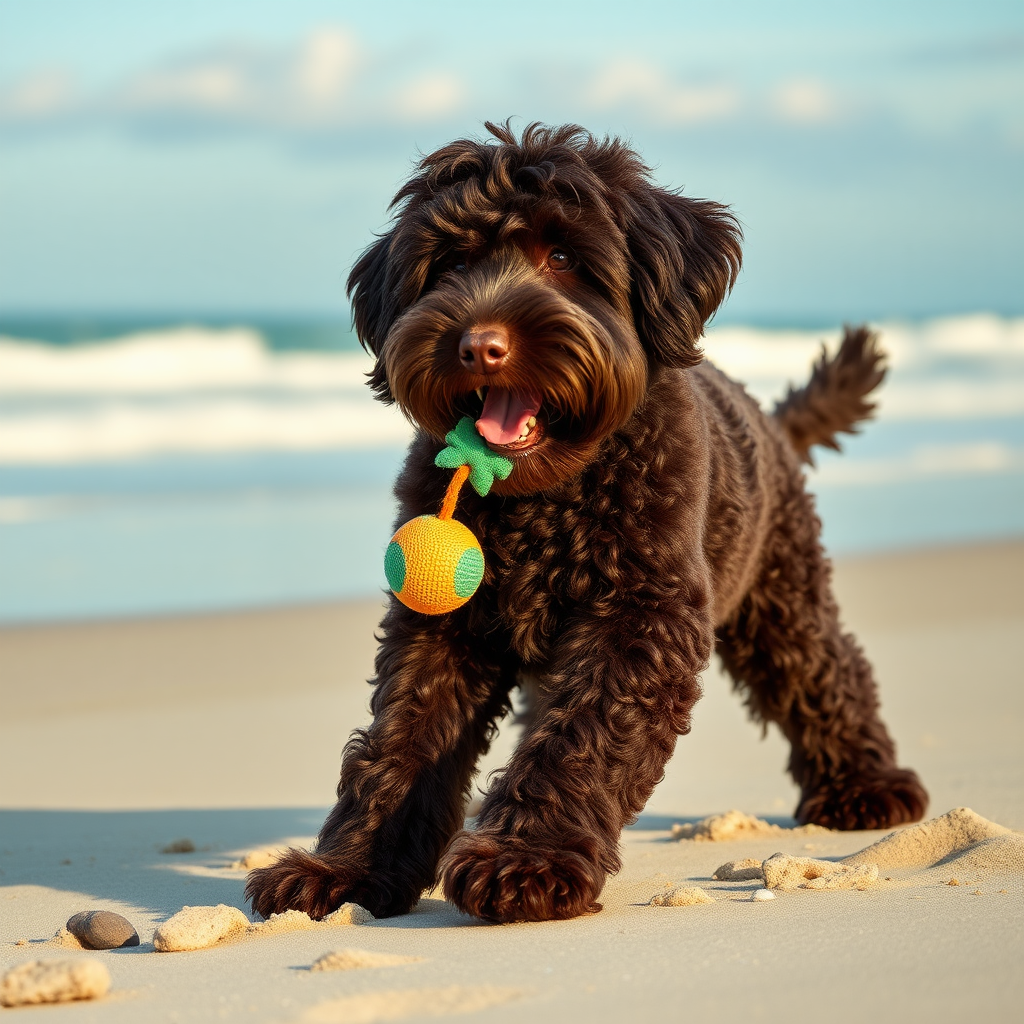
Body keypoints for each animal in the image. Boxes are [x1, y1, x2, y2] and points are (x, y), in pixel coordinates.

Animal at [247, 121, 929, 929]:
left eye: (565, 257)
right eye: (451, 263)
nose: (479, 344)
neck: (541, 498)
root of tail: (768, 416)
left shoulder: (640, 616)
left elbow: (582, 738)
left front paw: (526, 860)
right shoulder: (439, 629)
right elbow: (399, 742)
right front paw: (346, 870)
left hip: (780, 590)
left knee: (827, 667)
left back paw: (866, 786)